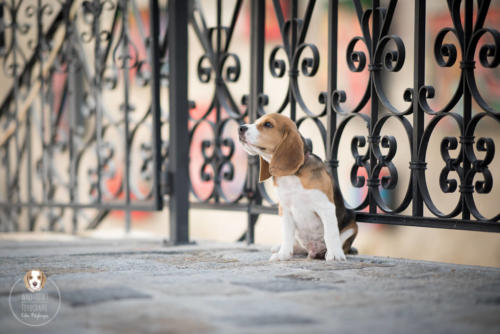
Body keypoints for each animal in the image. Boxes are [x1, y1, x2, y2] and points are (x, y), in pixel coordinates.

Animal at [237, 113, 356, 262]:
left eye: (268, 124)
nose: (240, 128)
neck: (291, 176)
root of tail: (313, 250)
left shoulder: (326, 206)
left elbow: (331, 233)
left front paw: (334, 255)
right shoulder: (285, 209)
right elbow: (287, 235)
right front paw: (283, 255)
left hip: (352, 226)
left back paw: (330, 252)